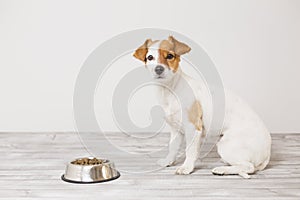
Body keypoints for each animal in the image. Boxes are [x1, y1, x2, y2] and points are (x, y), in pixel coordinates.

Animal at [132, 36, 270, 178]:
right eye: (150, 57)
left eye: (170, 56)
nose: (158, 69)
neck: (170, 90)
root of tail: (267, 155)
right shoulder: (176, 130)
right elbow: (173, 148)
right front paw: (168, 162)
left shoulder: (193, 128)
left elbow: (190, 151)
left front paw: (186, 167)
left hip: (226, 145)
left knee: (248, 167)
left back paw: (222, 170)